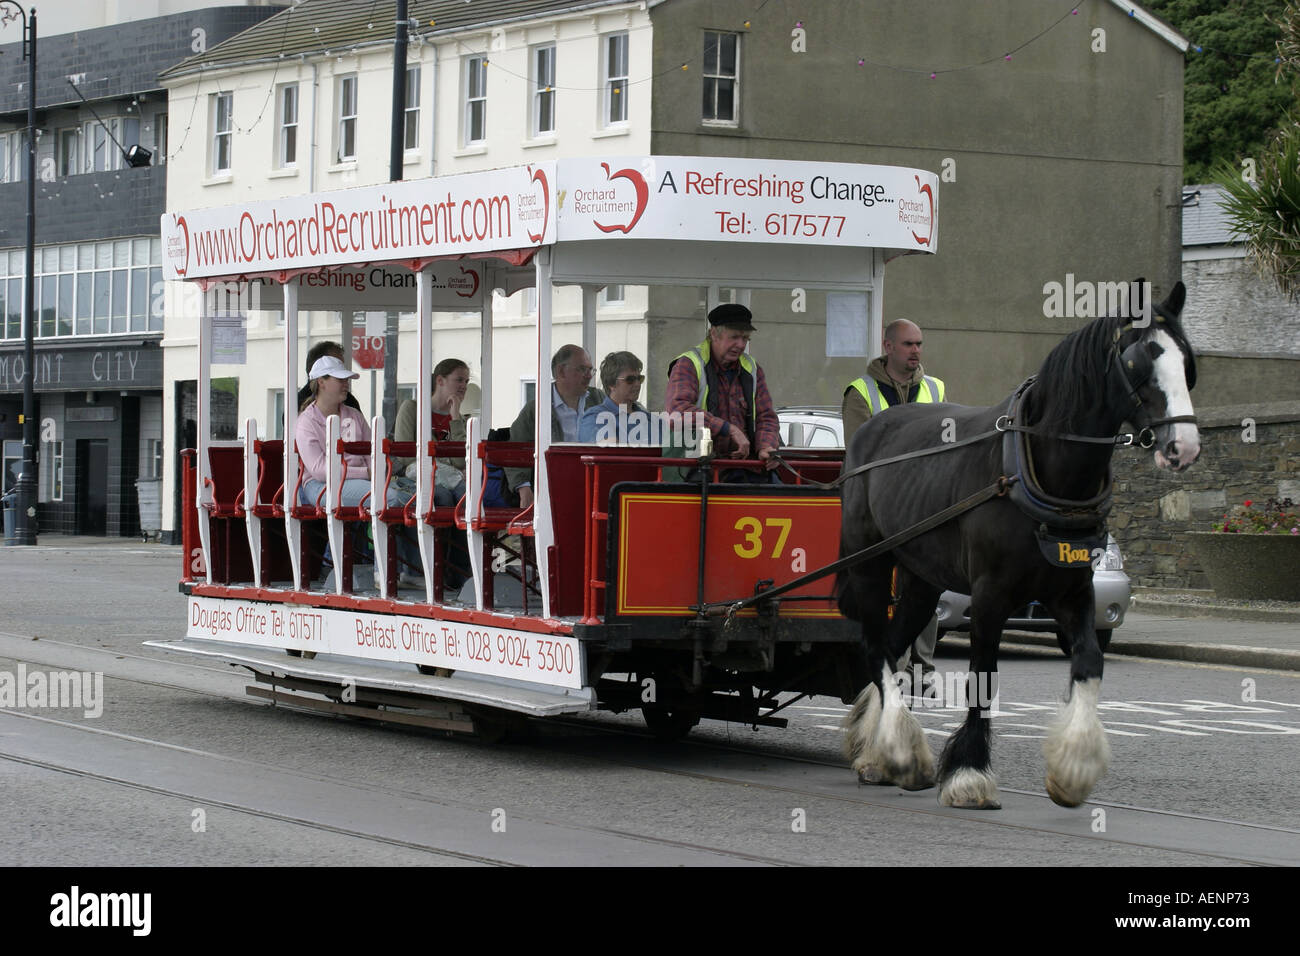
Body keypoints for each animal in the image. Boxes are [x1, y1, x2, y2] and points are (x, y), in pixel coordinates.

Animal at [842, 282, 1196, 806]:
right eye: (1138, 361)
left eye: (1187, 361)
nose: (1184, 446)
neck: (1043, 469)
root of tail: (870, 430)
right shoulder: (990, 594)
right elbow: (983, 677)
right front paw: (969, 774)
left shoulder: (1073, 591)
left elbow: (1089, 660)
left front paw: (1074, 767)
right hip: (869, 562)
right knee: (875, 647)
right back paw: (899, 750)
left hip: (922, 578)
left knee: (891, 643)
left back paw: (879, 750)